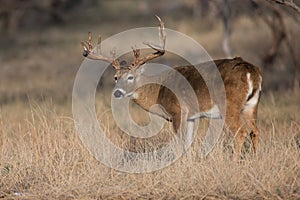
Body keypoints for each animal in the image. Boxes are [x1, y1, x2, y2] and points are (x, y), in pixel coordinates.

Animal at [81, 16, 262, 159]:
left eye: (130, 77)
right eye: (116, 77)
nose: (118, 92)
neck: (157, 91)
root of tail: (250, 70)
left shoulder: (177, 111)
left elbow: (181, 142)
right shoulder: (191, 116)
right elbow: (188, 143)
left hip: (229, 104)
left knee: (241, 133)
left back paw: (236, 162)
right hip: (251, 105)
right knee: (255, 131)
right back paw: (254, 161)